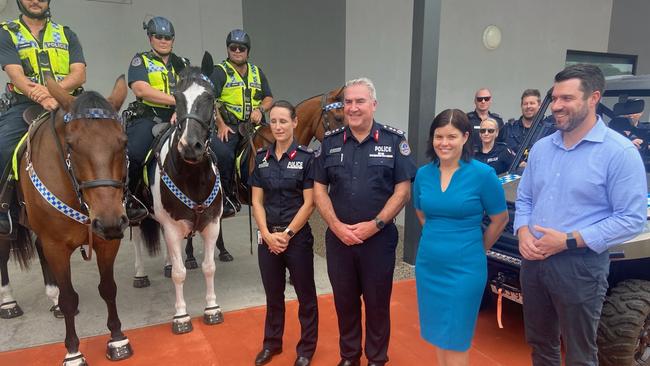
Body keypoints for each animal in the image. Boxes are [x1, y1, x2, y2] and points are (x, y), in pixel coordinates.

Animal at [15, 76, 130, 364]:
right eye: (71, 145)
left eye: (123, 142)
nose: (109, 222)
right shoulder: (56, 246)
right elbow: (69, 298)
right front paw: (73, 351)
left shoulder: (107, 242)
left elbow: (108, 288)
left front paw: (117, 338)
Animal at [136, 53, 223, 334]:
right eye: (176, 97)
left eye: (210, 97)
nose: (190, 146)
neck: (192, 177)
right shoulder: (173, 228)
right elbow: (179, 273)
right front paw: (181, 316)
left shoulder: (212, 224)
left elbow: (209, 267)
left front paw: (212, 309)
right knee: (138, 239)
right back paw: (140, 274)